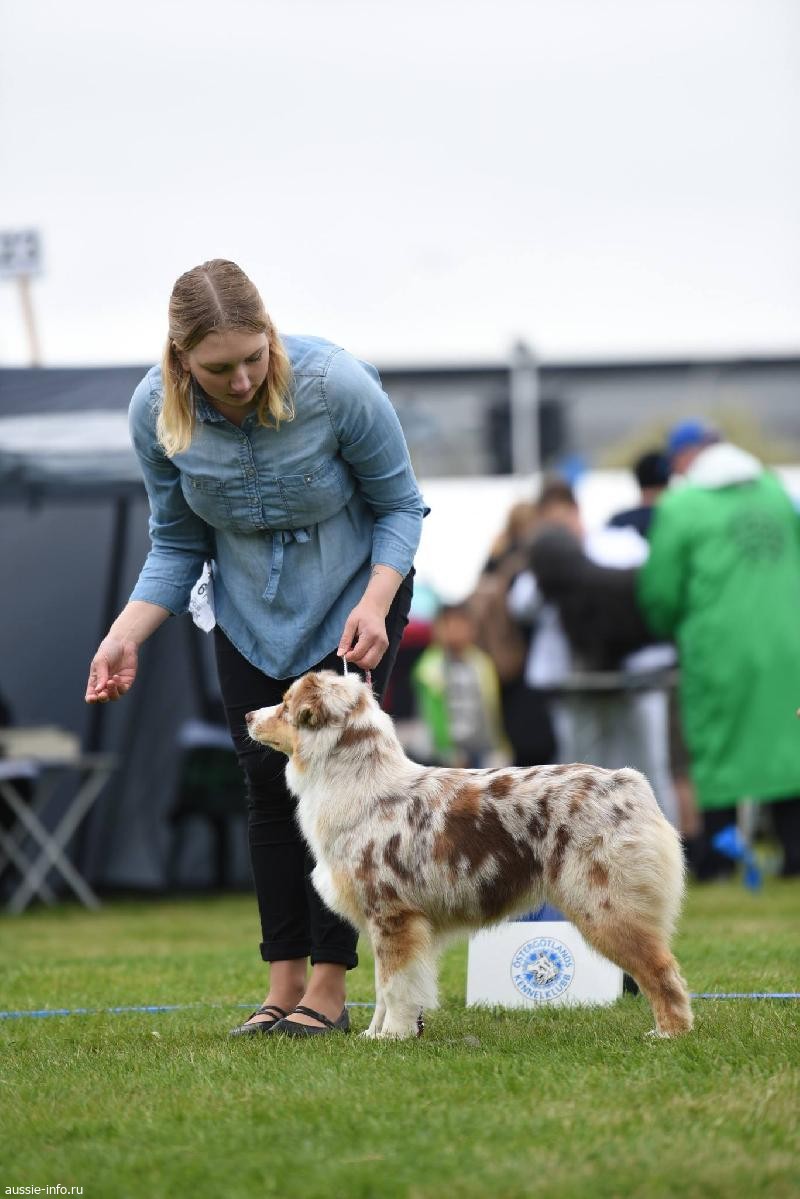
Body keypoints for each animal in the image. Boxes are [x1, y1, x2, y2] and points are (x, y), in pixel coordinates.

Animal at [246, 670, 693, 1041]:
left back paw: (669, 1034)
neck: (357, 783)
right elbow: (382, 987)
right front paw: (374, 1035)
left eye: (285, 705)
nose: (248, 715)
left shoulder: (393, 915)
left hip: (604, 906)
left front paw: (393, 1037)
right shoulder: (383, 922)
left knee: (663, 971)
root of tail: (629, 782)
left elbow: (395, 985)